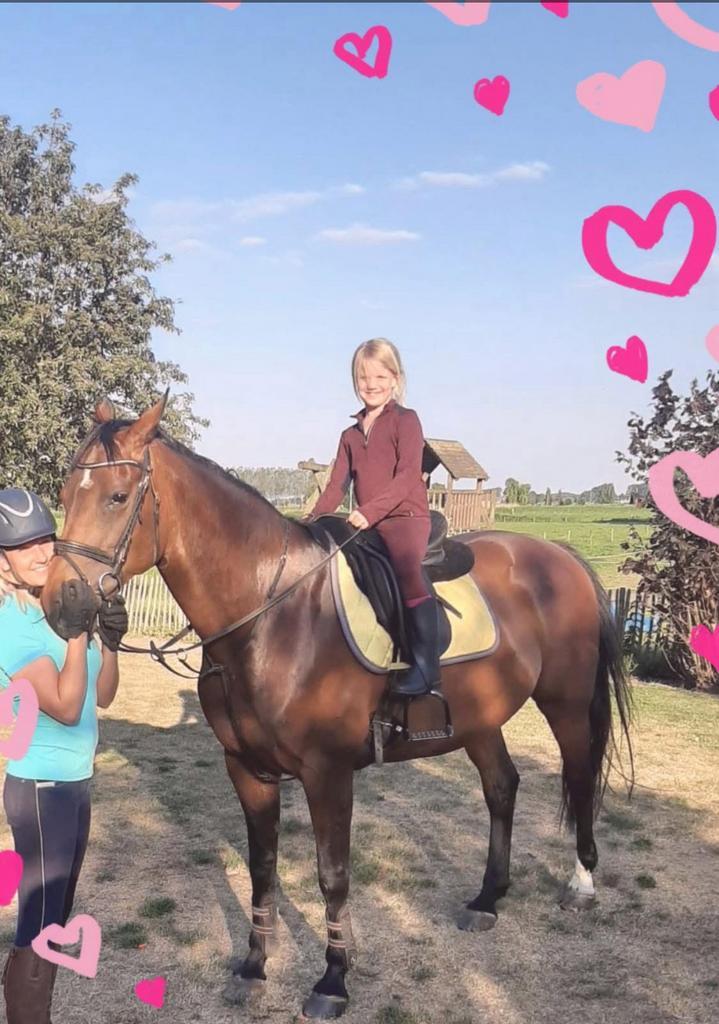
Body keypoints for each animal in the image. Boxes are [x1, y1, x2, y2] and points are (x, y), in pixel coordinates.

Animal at [41, 394, 633, 1019]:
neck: (272, 618)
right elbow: (263, 870)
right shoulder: (246, 769)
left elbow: (332, 876)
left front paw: (332, 980)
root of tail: (558, 555)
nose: (60, 601)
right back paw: (487, 899)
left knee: (579, 775)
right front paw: (254, 968)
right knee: (501, 787)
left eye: (117, 497)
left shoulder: (328, 774)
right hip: (481, 719)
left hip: (565, 704)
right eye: (65, 494)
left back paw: (581, 885)